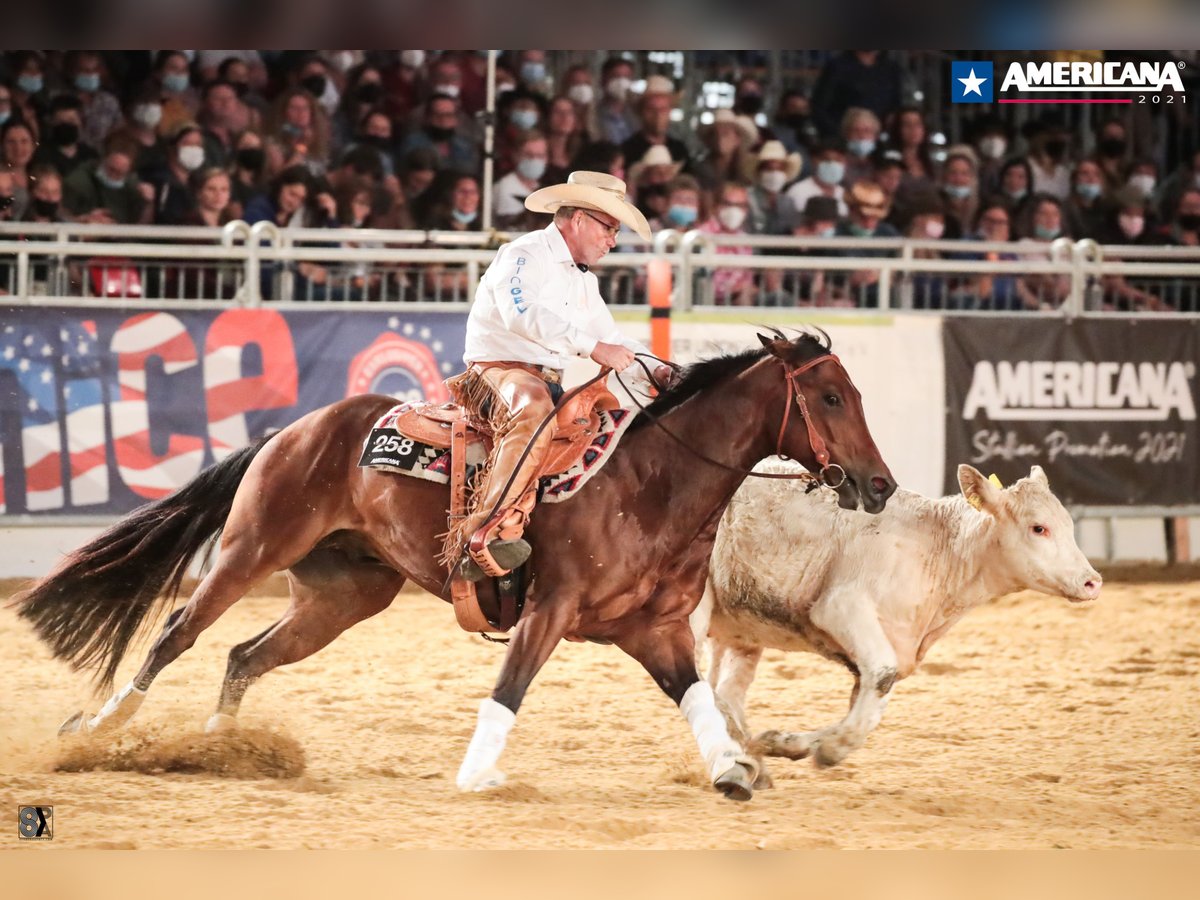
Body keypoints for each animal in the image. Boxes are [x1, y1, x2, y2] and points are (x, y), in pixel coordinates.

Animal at [11, 331, 892, 801]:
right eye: (832, 399)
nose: (879, 484)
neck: (650, 482)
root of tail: (297, 426)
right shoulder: (549, 610)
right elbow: (509, 691)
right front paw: (476, 774)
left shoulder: (657, 631)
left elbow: (700, 700)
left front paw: (735, 770)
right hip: (248, 550)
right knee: (177, 635)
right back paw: (101, 728)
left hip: (343, 598)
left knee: (242, 656)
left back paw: (224, 751)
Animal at [696, 460, 1104, 777]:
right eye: (1039, 528)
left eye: (1068, 525)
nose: (1092, 582)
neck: (940, 550)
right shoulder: (842, 608)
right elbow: (881, 678)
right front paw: (829, 750)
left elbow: (867, 703)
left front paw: (785, 742)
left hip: (740, 631)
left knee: (725, 692)